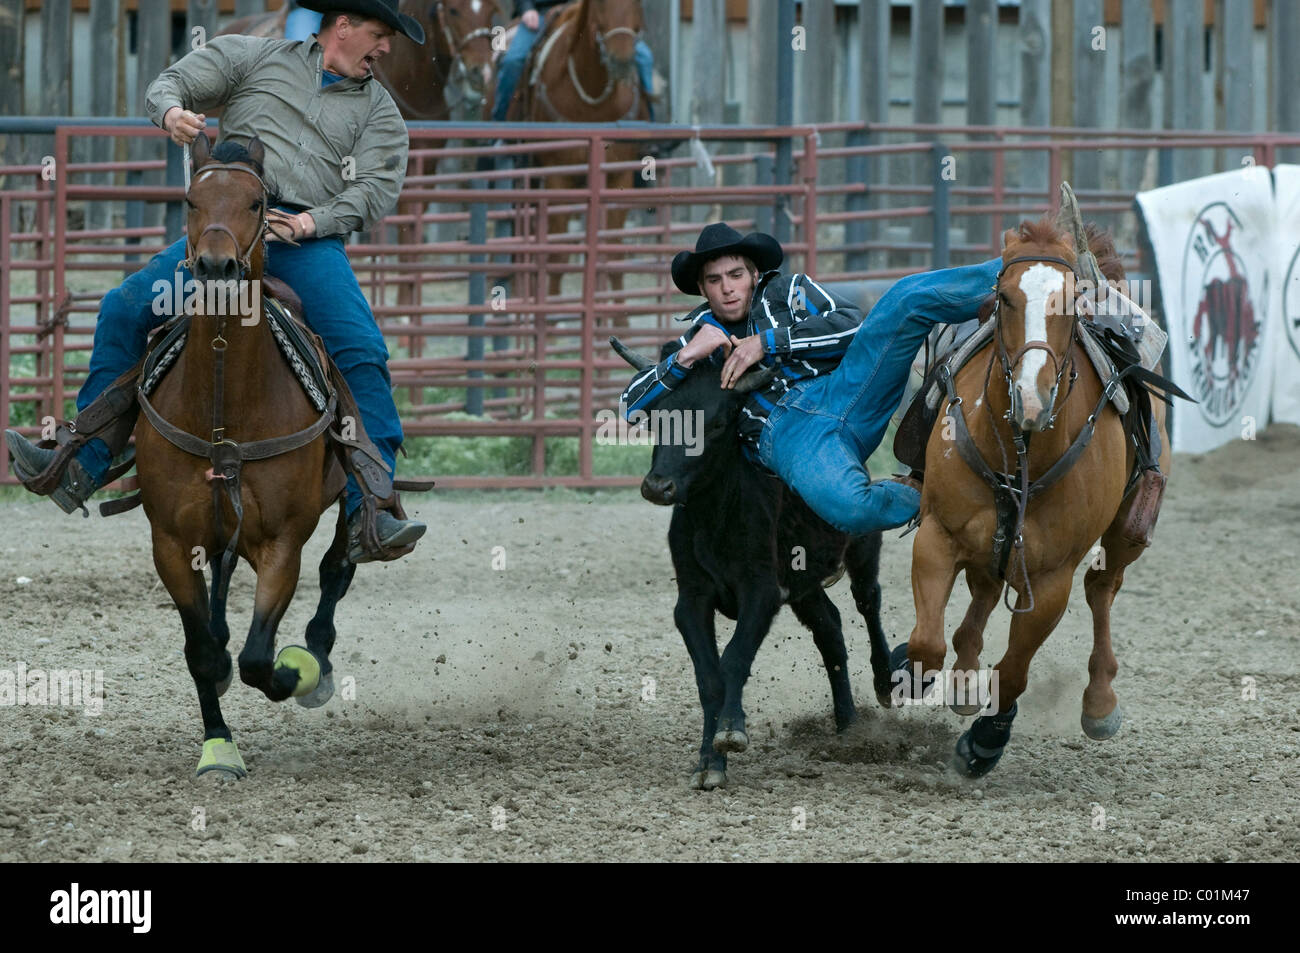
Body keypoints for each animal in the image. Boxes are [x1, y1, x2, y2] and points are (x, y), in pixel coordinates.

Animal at [135, 135, 353, 780]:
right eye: (190, 200)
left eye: (258, 203)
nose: (215, 267)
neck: (225, 405)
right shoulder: (170, 542)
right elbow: (201, 651)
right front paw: (217, 745)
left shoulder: (283, 541)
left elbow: (261, 655)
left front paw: (295, 671)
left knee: (340, 563)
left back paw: (318, 656)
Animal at [904, 187, 1180, 780]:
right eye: (1003, 297)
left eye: (1070, 303)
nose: (1032, 398)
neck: (1020, 448)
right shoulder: (937, 535)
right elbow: (926, 643)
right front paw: (930, 677)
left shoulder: (1052, 578)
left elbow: (1014, 671)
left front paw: (985, 742)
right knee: (983, 593)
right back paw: (965, 674)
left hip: (1122, 537)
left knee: (1102, 591)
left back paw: (1099, 702)